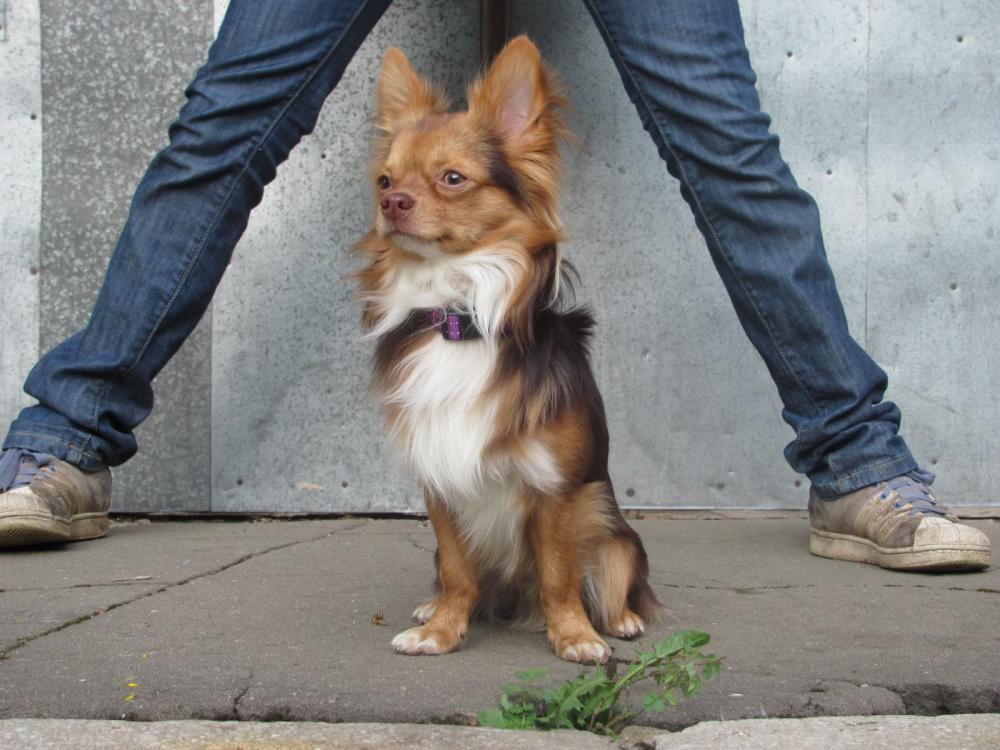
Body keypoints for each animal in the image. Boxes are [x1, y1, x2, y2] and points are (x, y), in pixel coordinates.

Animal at [353, 36, 660, 664]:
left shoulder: (557, 488)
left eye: (452, 178)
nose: (392, 204)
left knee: (615, 576)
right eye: (385, 181)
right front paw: (442, 629)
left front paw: (574, 635)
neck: (460, 315)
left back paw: (622, 619)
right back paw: (431, 606)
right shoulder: (440, 478)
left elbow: (559, 575)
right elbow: (458, 569)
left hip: (611, 528)